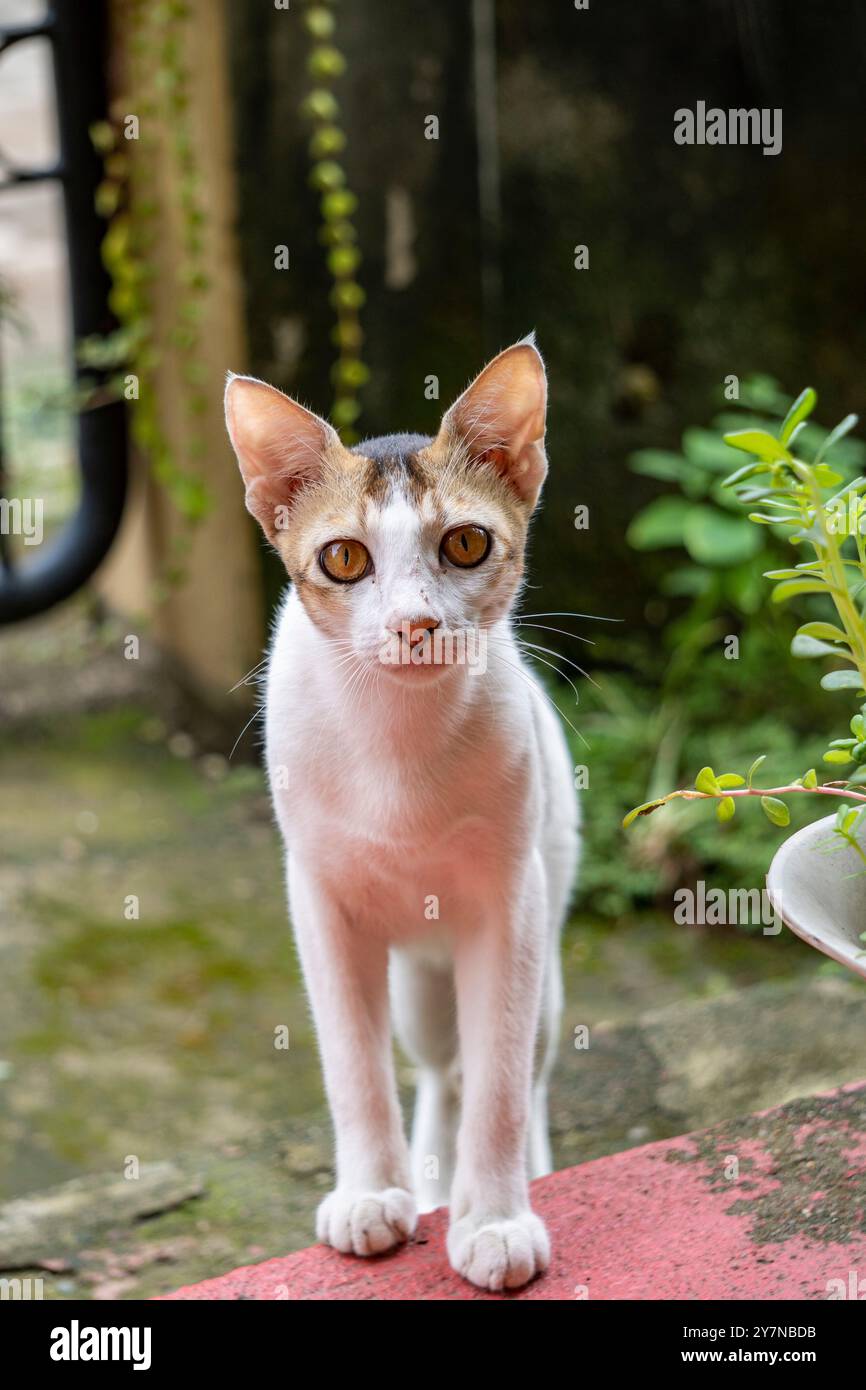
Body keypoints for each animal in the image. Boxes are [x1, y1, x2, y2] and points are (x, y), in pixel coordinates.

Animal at [226, 336, 583, 1289]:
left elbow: (498, 1083)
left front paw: (494, 1218)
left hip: (538, 951)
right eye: (345, 559)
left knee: (509, 1068)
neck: (396, 742)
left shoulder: (510, 903)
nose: (415, 624)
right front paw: (371, 1194)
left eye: (465, 544)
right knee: (435, 1067)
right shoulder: (317, 899)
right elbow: (355, 1067)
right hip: (419, 983)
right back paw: (425, 1177)